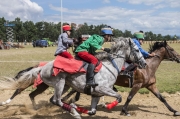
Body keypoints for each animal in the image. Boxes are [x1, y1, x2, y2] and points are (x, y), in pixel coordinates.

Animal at [0, 36, 146, 118]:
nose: (144, 63)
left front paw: (79, 107)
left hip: (64, 85)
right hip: (59, 83)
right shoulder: (102, 89)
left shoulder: (95, 94)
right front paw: (107, 106)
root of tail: (43, 66)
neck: (110, 66)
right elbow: (119, 97)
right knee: (56, 100)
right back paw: (74, 112)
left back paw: (72, 109)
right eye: (137, 50)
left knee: (52, 99)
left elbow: (92, 111)